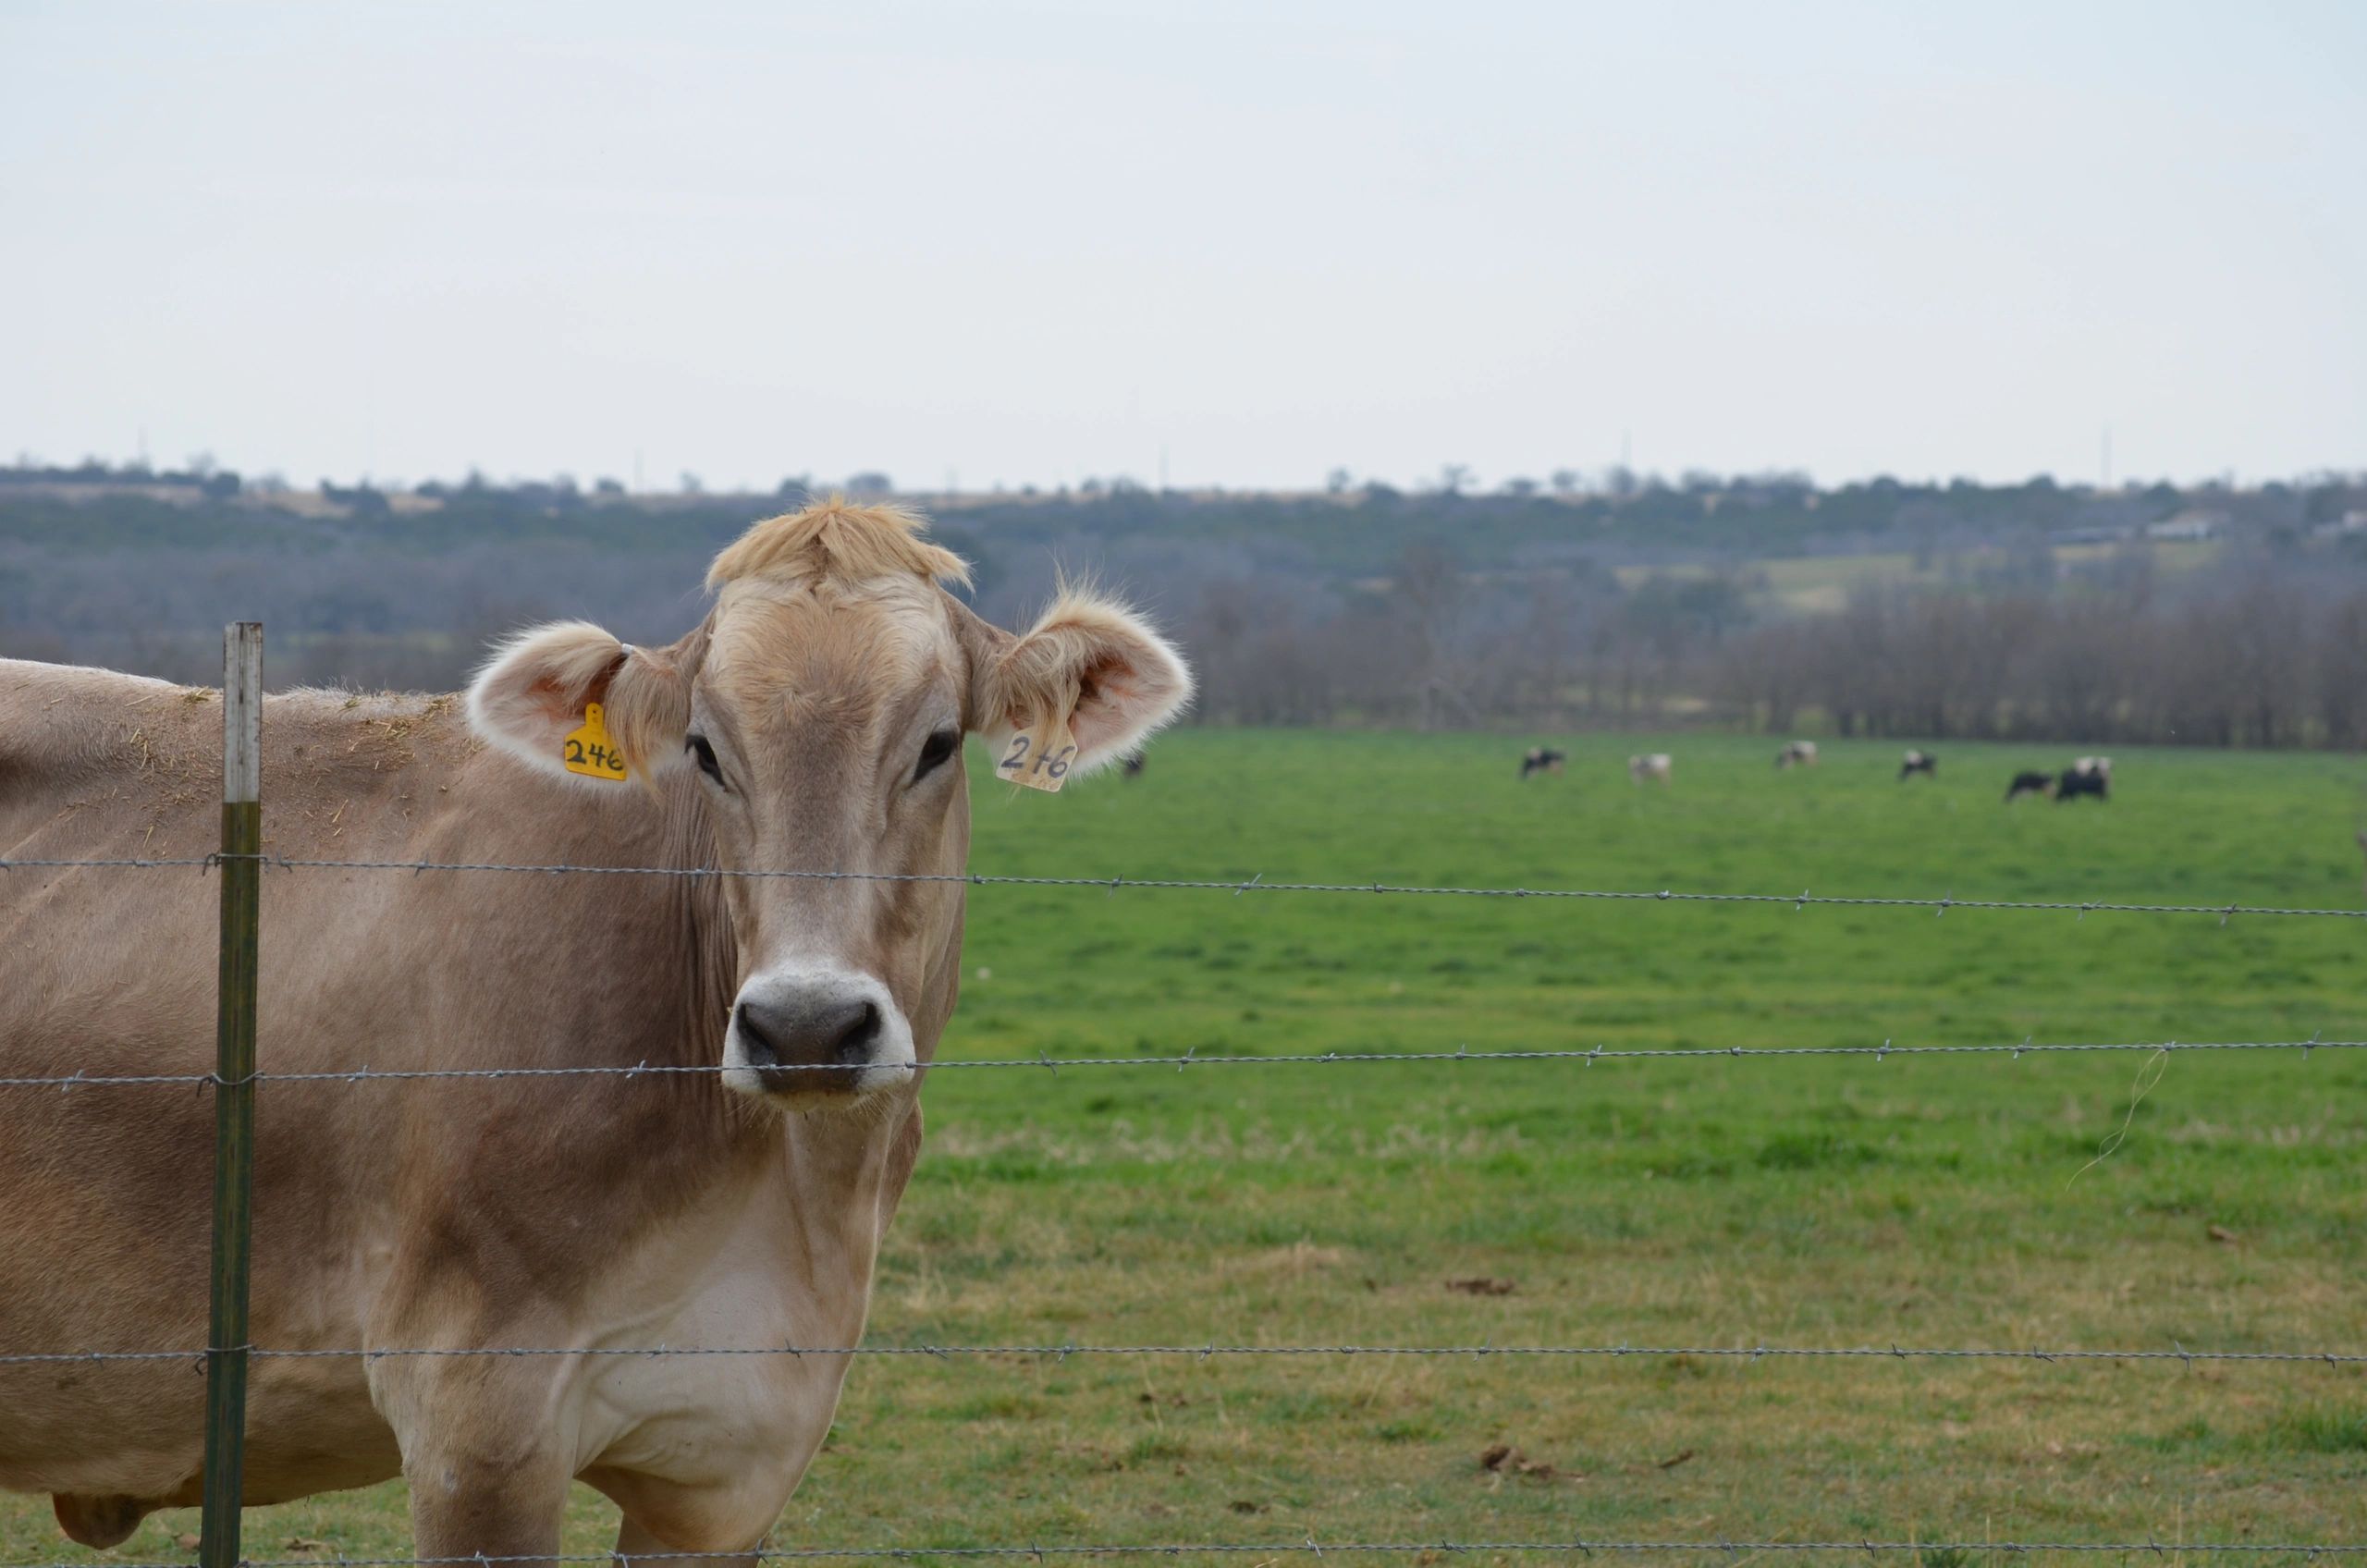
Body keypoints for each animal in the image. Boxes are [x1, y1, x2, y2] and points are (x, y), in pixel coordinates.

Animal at [0, 504, 1193, 1568]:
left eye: (938, 743)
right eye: (706, 751)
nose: (806, 1025)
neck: (795, 1195)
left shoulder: (727, 1465)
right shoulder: (477, 1422)